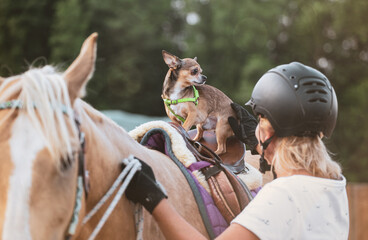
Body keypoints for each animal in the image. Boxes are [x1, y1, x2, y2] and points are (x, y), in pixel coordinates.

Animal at [0, 33, 270, 240]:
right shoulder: (178, 117)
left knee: (221, 147)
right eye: (194, 70)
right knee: (206, 135)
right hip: (212, 127)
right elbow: (178, 122)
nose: (203, 78)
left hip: (223, 125)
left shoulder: (194, 114)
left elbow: (187, 123)